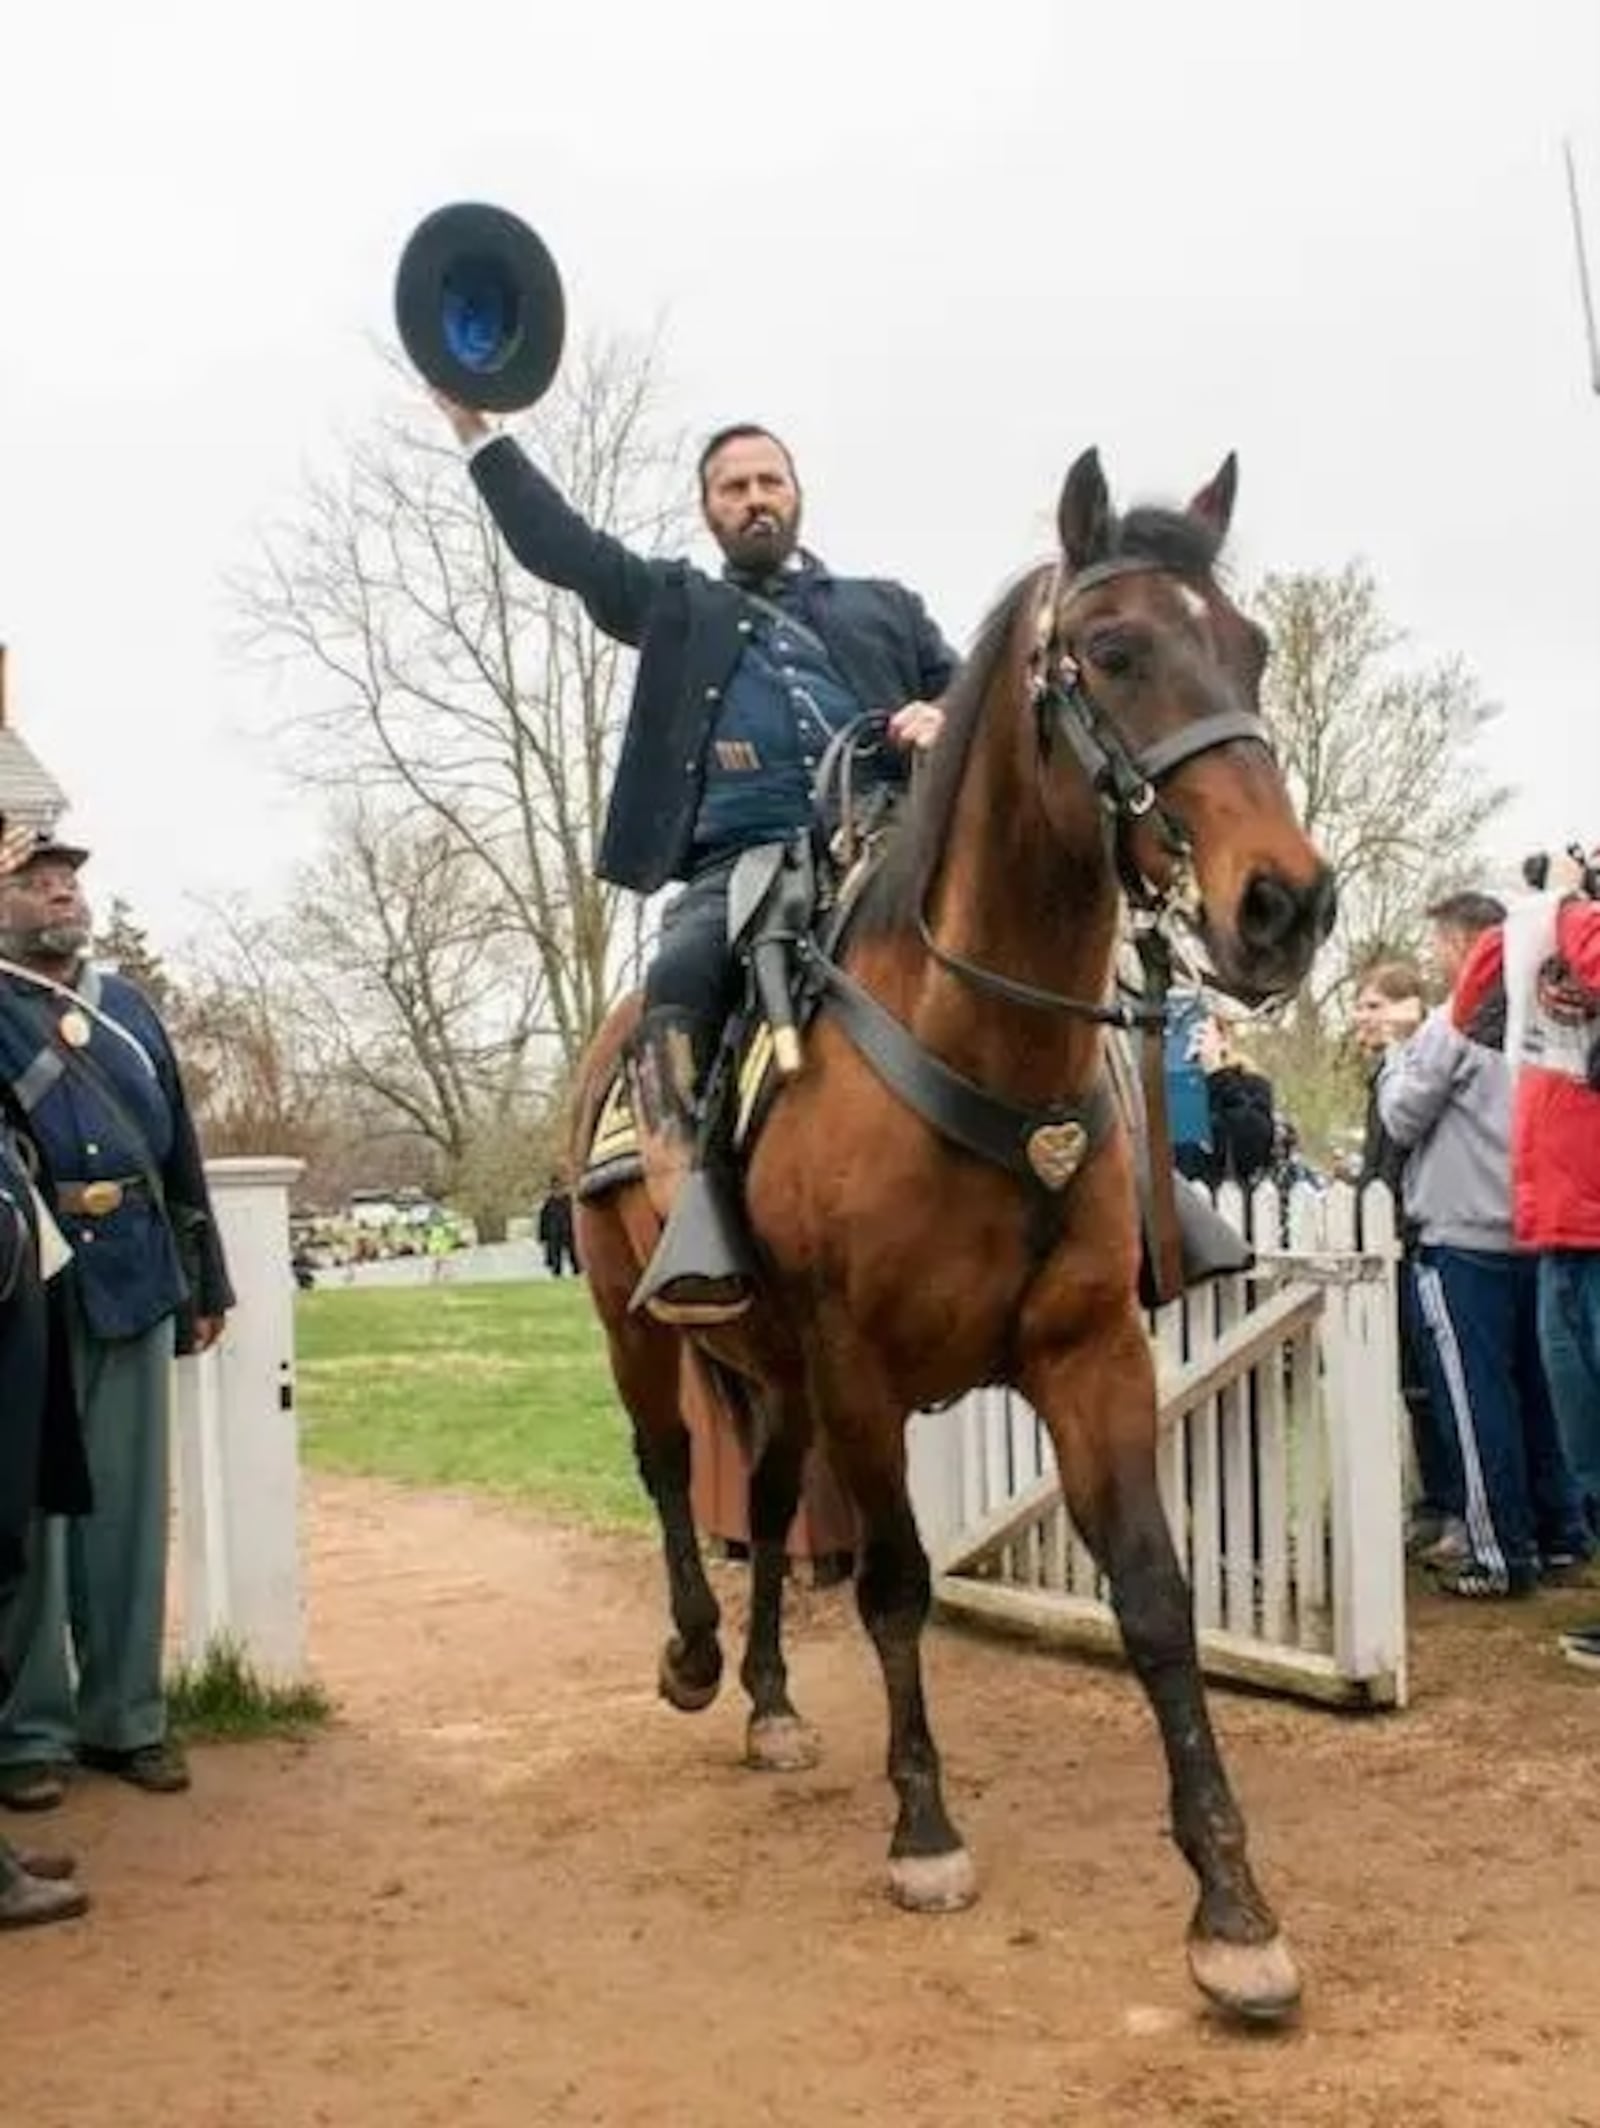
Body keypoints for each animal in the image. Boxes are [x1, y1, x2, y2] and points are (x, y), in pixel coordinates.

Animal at [574, 444, 1336, 2008]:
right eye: (1113, 650)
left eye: (1249, 648)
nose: (1284, 903)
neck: (977, 1041)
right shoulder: (863, 1369)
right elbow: (896, 1586)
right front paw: (923, 1829)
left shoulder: (1090, 1358)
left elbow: (1154, 1599)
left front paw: (1231, 1905)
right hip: (641, 1326)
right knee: (673, 1469)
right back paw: (696, 1660)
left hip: (780, 1371)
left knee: (762, 1490)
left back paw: (769, 1701)